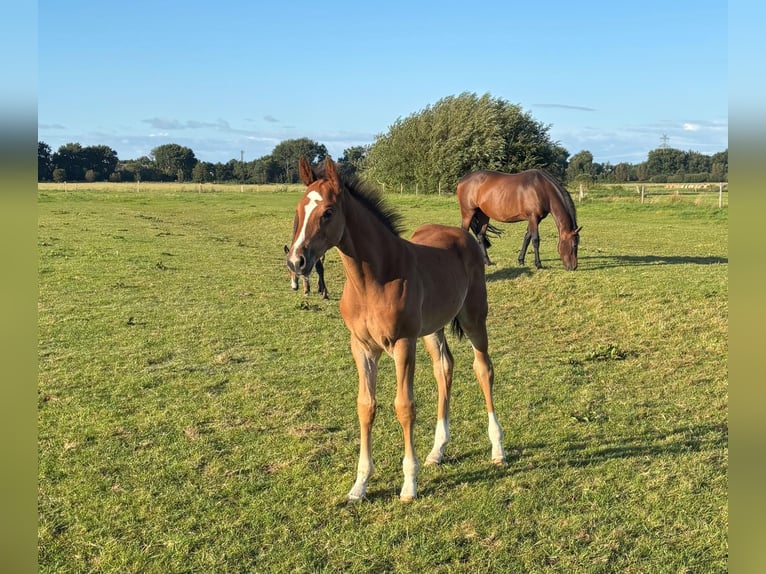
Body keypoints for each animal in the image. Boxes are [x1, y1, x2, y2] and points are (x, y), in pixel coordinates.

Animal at [286, 156, 505, 502]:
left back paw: (497, 449)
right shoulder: (361, 346)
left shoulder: (403, 343)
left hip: (473, 318)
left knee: (483, 368)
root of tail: (461, 234)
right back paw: (437, 450)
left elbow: (404, 406)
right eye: (299, 210)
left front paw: (409, 485)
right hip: (432, 329)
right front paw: (360, 485)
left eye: (328, 212)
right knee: (445, 368)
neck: (372, 281)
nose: (297, 261)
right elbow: (365, 406)